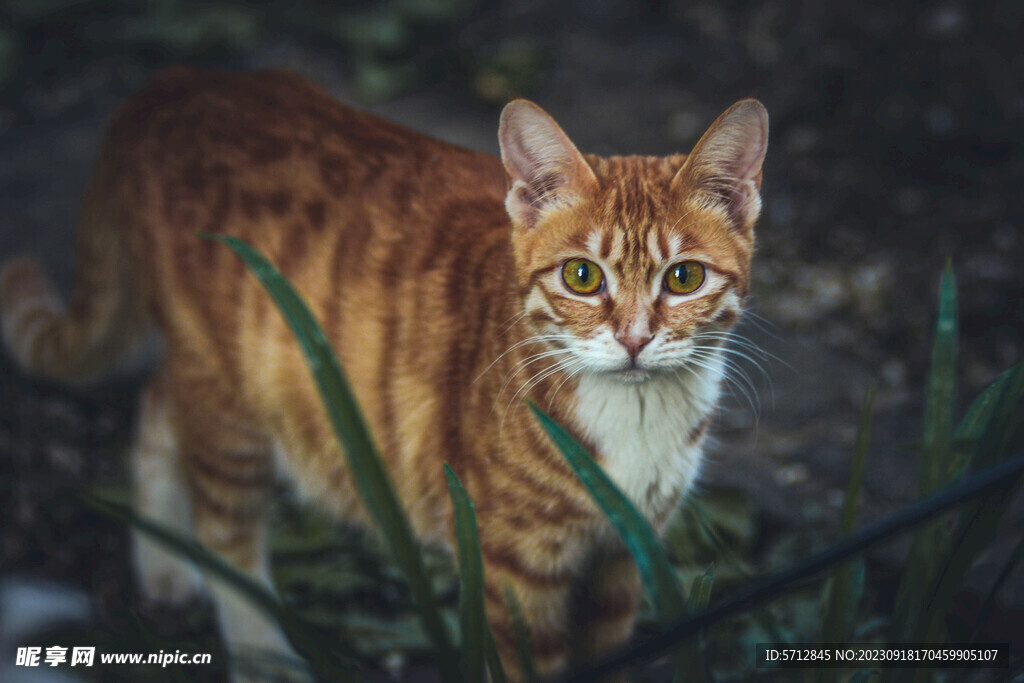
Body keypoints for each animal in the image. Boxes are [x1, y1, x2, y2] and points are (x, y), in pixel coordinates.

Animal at [0, 68, 770, 679]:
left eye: (684, 277)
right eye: (583, 276)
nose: (636, 338)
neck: (635, 422)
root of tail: (177, 83)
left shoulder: (621, 559)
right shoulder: (515, 576)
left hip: (209, 377)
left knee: (157, 403)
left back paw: (163, 566)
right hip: (233, 400)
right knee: (227, 531)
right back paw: (259, 650)